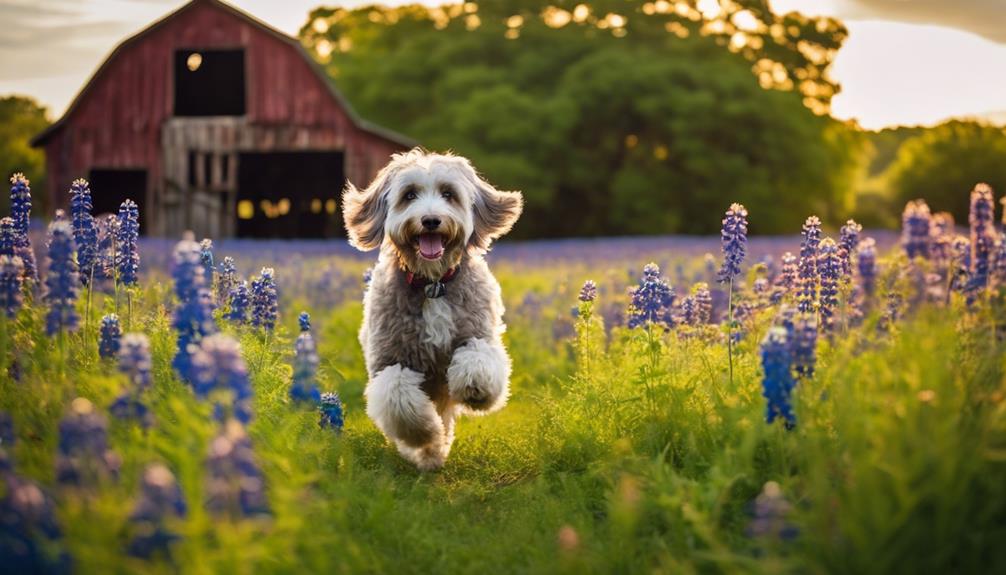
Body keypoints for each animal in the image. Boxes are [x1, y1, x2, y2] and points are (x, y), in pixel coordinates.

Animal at [342, 149, 523, 472]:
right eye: (409, 195)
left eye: (448, 194)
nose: (430, 220)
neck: (432, 284)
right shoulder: (391, 360)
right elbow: (398, 397)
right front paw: (425, 434)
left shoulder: (479, 334)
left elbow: (477, 358)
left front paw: (475, 388)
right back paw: (429, 452)